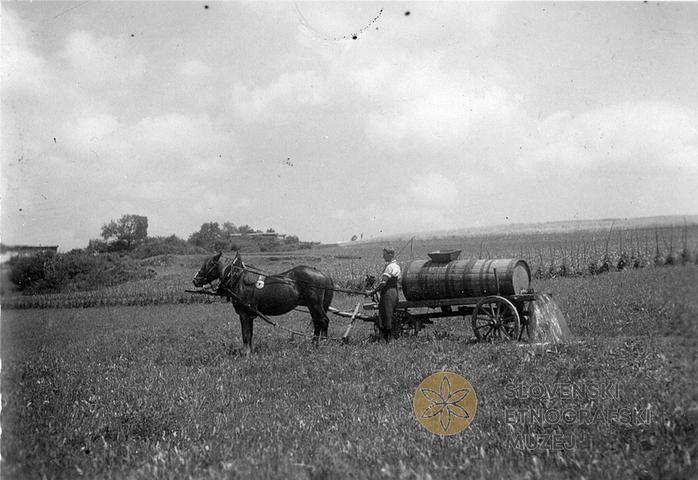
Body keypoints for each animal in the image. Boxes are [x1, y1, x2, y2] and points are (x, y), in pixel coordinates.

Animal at [192, 252, 334, 355]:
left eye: (210, 263)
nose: (195, 280)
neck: (238, 278)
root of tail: (323, 274)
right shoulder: (250, 314)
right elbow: (250, 334)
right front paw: (250, 352)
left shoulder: (244, 314)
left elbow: (245, 334)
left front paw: (246, 354)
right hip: (313, 306)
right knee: (317, 322)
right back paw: (314, 344)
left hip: (315, 305)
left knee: (323, 320)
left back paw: (323, 344)